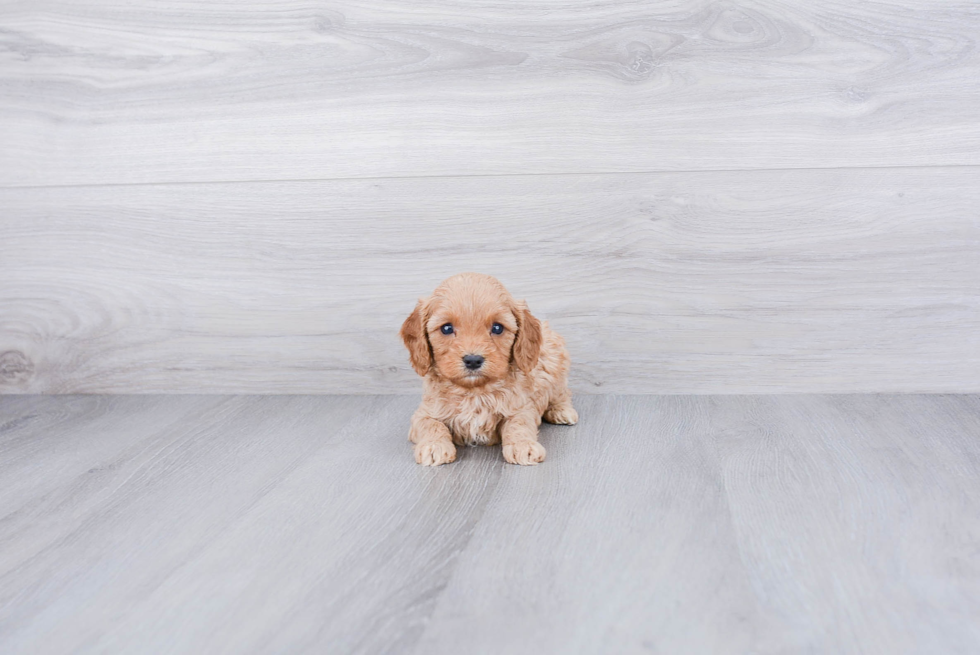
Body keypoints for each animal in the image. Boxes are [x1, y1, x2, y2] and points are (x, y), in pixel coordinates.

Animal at [402, 272, 580, 466]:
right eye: (447, 328)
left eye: (497, 327)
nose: (473, 360)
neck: (474, 391)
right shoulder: (424, 413)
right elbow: (431, 424)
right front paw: (434, 446)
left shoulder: (521, 407)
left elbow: (519, 424)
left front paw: (523, 445)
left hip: (554, 362)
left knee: (562, 393)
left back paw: (562, 411)